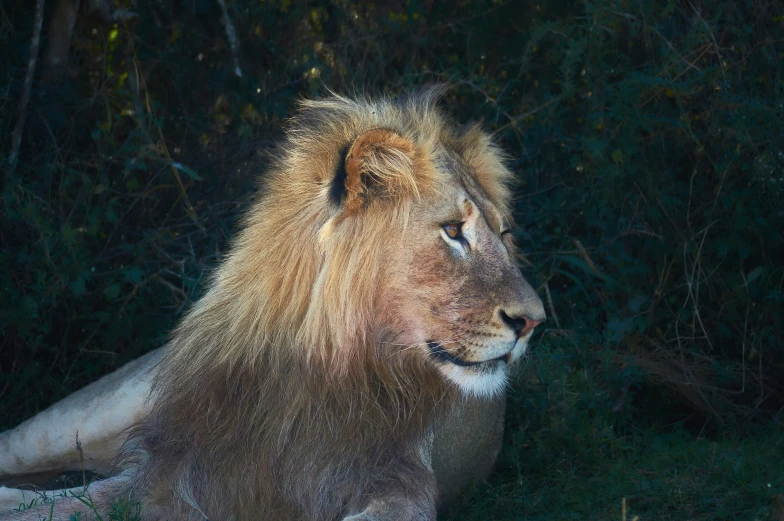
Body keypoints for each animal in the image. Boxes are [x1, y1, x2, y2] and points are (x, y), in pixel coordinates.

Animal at [0, 89, 544, 520]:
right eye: (452, 231)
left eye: (505, 235)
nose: (533, 321)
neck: (317, 371)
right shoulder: (178, 466)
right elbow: (74, 504)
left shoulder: (398, 476)